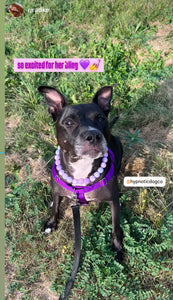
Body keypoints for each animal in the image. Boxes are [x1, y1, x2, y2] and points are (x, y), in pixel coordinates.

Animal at [38, 84, 123, 260]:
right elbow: (55, 208)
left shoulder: (111, 201)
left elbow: (116, 228)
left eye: (100, 118)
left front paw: (118, 248)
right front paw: (51, 223)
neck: (82, 166)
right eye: (69, 122)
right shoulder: (57, 190)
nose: (93, 135)